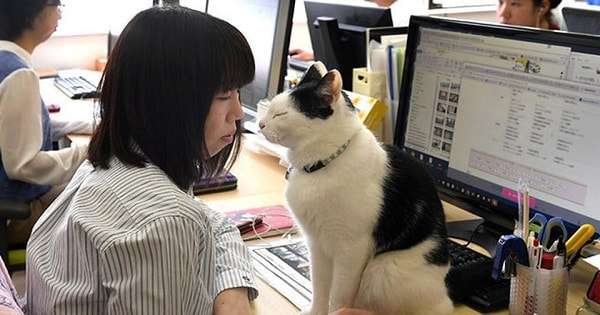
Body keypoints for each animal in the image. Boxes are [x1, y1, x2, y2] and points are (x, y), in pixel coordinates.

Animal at [258, 62, 450, 315]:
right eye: (270, 109)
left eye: (281, 114)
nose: (260, 124)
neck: (320, 165)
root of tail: (444, 294)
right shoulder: (315, 244)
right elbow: (319, 287)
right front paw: (316, 310)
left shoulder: (351, 250)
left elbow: (338, 295)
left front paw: (335, 311)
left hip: (382, 269)